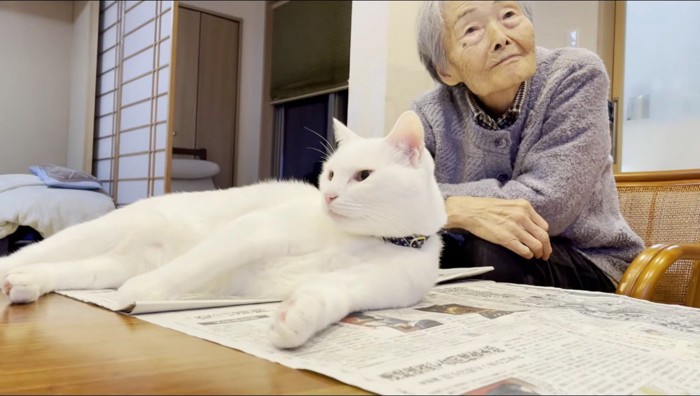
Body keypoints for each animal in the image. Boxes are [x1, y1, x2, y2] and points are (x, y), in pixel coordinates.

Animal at [0, 110, 446, 346]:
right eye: (331, 174)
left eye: (363, 176)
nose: (329, 196)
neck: (368, 238)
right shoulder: (253, 231)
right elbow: (195, 264)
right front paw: (141, 294)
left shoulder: (366, 285)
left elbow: (327, 295)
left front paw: (294, 321)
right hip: (99, 233)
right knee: (30, 252)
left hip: (107, 266)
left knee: (59, 270)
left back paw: (24, 286)